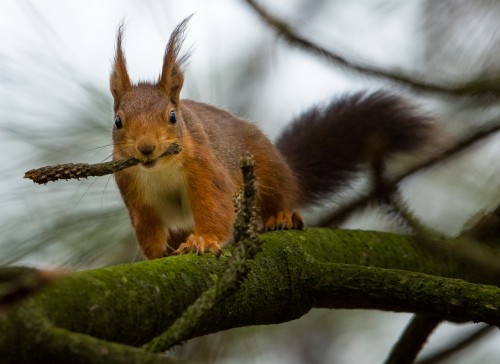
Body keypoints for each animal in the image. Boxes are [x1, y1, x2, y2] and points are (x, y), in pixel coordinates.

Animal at [110, 17, 446, 258]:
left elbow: (215, 206)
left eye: (172, 117)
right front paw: (158, 255)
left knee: (282, 195)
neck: (161, 170)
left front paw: (202, 241)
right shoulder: (134, 193)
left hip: (268, 169)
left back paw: (281, 216)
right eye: (117, 121)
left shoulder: (205, 169)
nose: (146, 148)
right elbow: (148, 229)